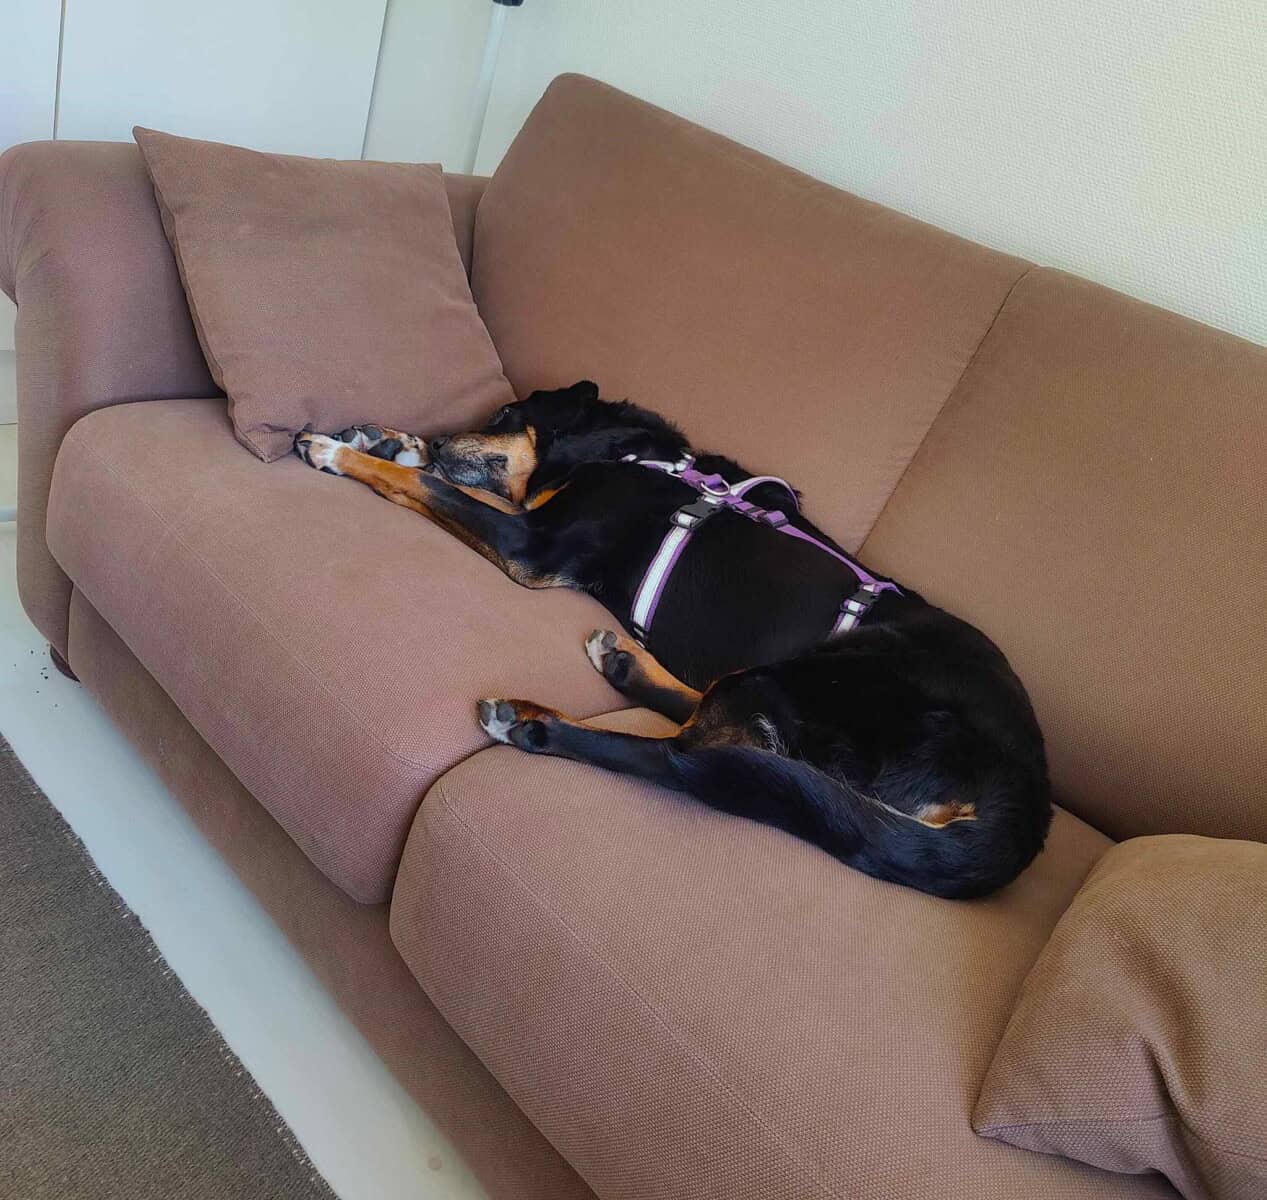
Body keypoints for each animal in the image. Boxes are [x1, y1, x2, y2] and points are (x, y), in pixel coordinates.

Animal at [295, 380, 1051, 898]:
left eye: (506, 415)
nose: (449, 437)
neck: (635, 456)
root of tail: (1026, 800)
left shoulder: (533, 547)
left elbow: (426, 487)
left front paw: (344, 453)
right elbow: (439, 480)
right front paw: (387, 437)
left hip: (821, 680)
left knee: (683, 760)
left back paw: (533, 722)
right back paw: (622, 664)